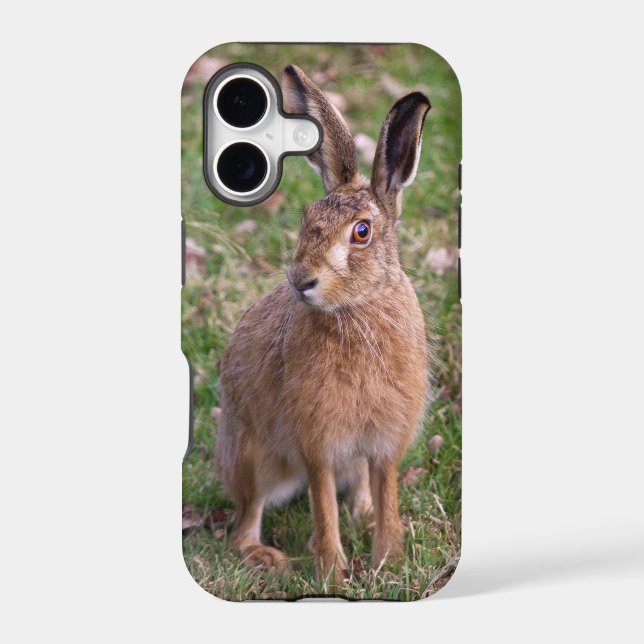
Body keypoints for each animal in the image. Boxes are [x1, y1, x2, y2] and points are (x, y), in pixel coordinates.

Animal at [216, 64, 431, 587]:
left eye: (362, 232)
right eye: (306, 218)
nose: (301, 280)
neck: (356, 309)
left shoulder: (385, 442)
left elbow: (386, 491)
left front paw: (386, 561)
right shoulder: (317, 441)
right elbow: (322, 504)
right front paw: (333, 573)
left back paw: (364, 515)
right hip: (255, 460)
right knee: (244, 524)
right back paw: (267, 557)